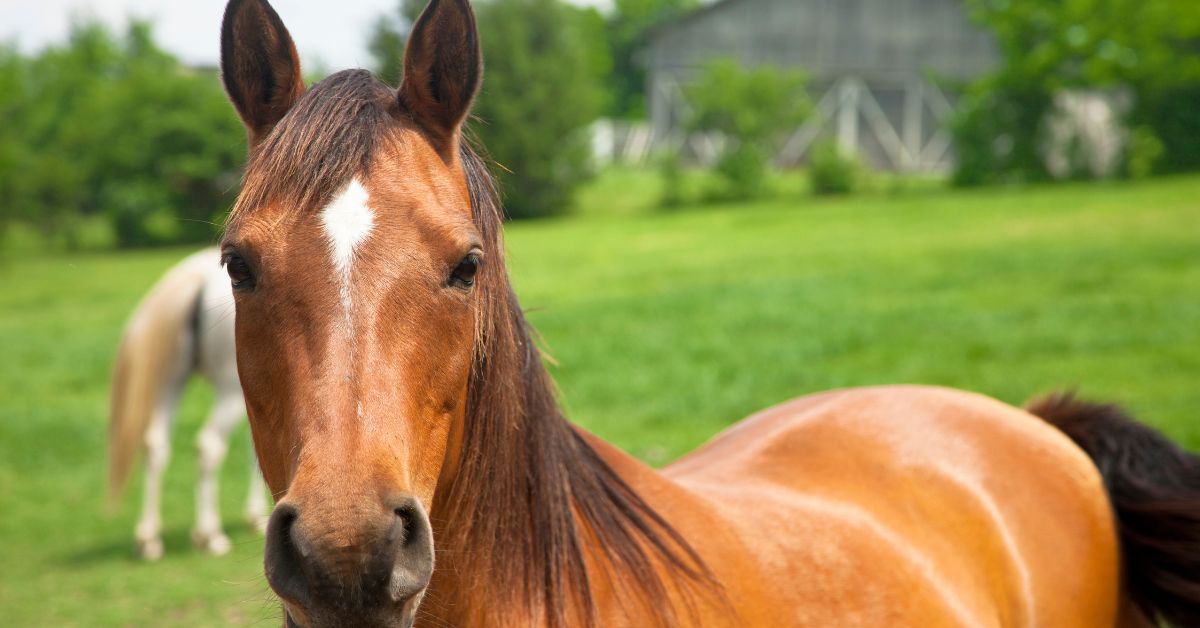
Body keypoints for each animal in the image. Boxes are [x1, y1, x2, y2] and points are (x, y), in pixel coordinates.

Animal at [108, 247, 270, 559]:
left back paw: (149, 539)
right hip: (229, 389)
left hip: (171, 383)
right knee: (209, 445)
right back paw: (210, 535)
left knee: (155, 444)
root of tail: (196, 277)